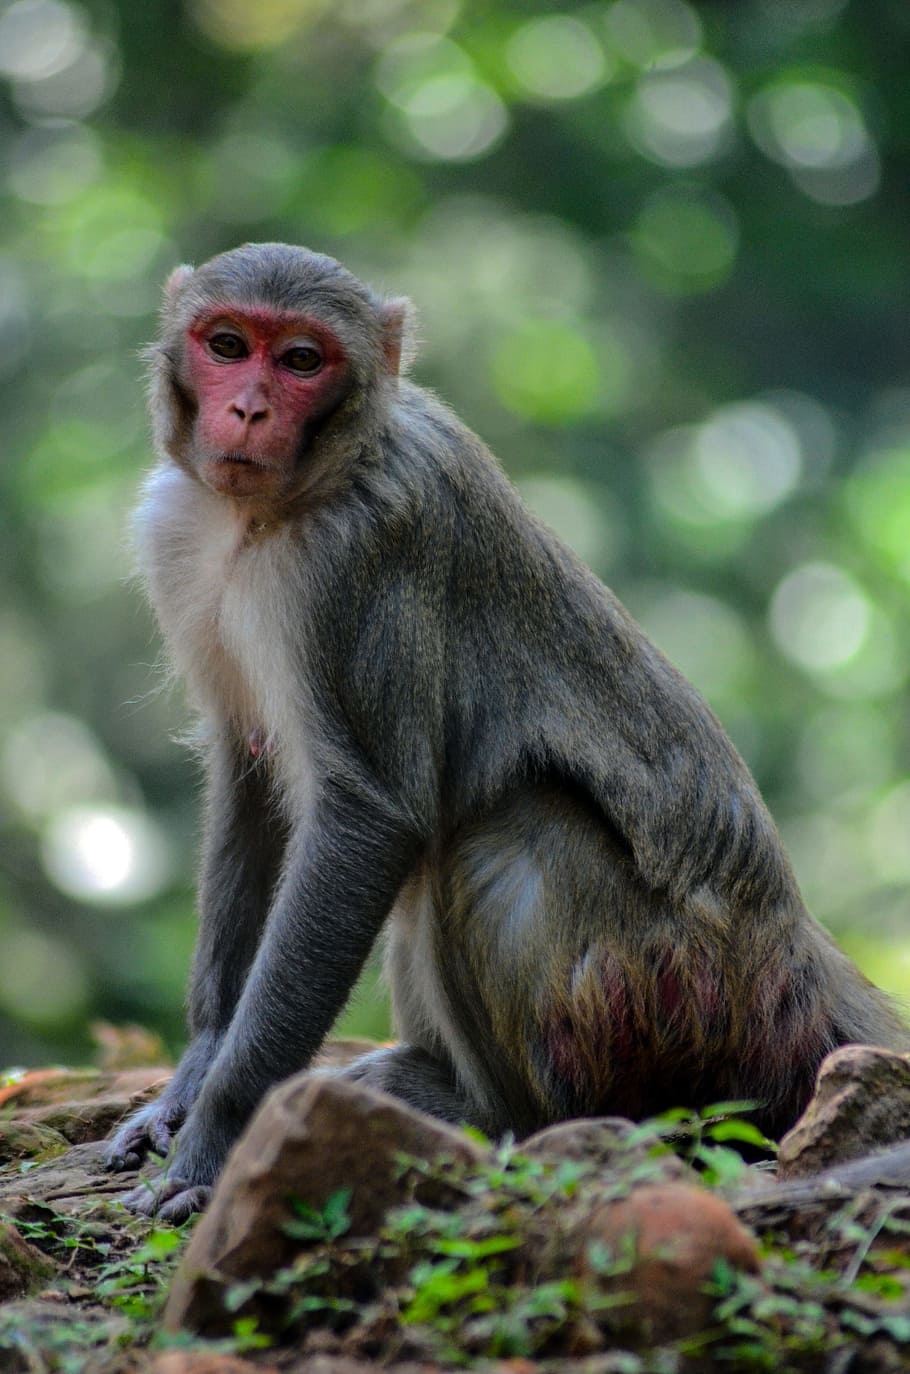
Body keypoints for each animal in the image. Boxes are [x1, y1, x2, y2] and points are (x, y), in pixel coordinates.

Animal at [105, 241, 907, 1220]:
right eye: (226, 344)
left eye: (301, 360)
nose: (249, 408)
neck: (277, 508)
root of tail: (787, 953)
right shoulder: (176, 537)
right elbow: (249, 775)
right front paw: (191, 1081)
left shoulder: (359, 555)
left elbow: (370, 818)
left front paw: (216, 1138)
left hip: (662, 996)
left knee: (504, 830)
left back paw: (486, 1112)